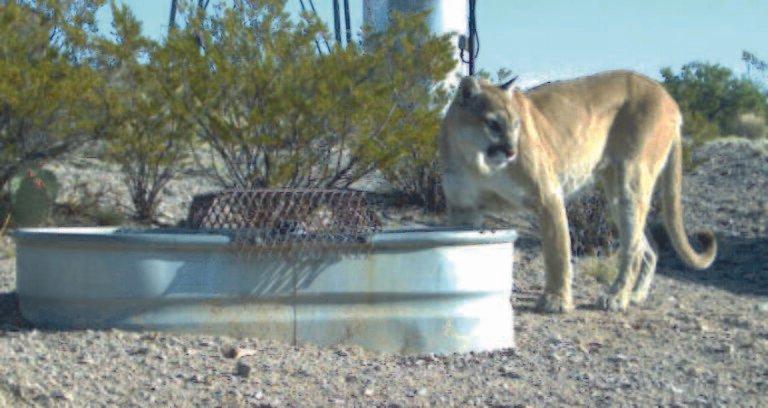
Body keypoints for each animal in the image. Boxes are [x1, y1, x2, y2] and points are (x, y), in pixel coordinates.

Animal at [438, 70, 717, 313]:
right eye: (493, 124)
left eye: (516, 124)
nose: (511, 150)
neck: (476, 161)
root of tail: (667, 96)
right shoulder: (464, 210)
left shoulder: (548, 196)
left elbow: (557, 251)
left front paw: (556, 300)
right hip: (616, 192)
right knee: (648, 246)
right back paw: (635, 295)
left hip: (631, 180)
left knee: (634, 247)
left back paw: (616, 297)